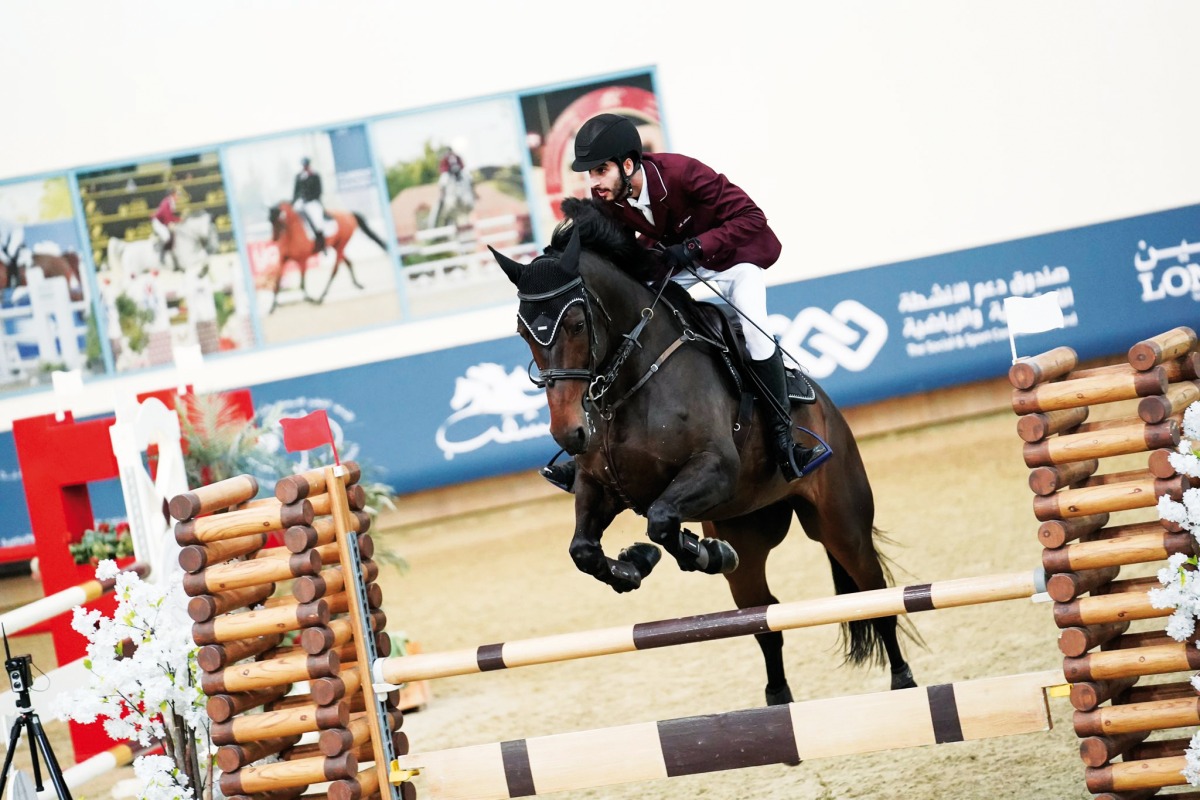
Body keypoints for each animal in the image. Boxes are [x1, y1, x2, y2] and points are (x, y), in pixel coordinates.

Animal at [492, 199, 912, 705]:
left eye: (575, 324)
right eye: (522, 332)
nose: (569, 434)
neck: (632, 379)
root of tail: (829, 409)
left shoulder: (714, 470)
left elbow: (660, 519)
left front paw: (698, 553)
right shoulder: (600, 487)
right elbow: (584, 550)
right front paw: (636, 565)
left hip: (840, 523)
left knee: (872, 593)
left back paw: (903, 680)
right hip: (748, 528)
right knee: (764, 617)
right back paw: (777, 698)